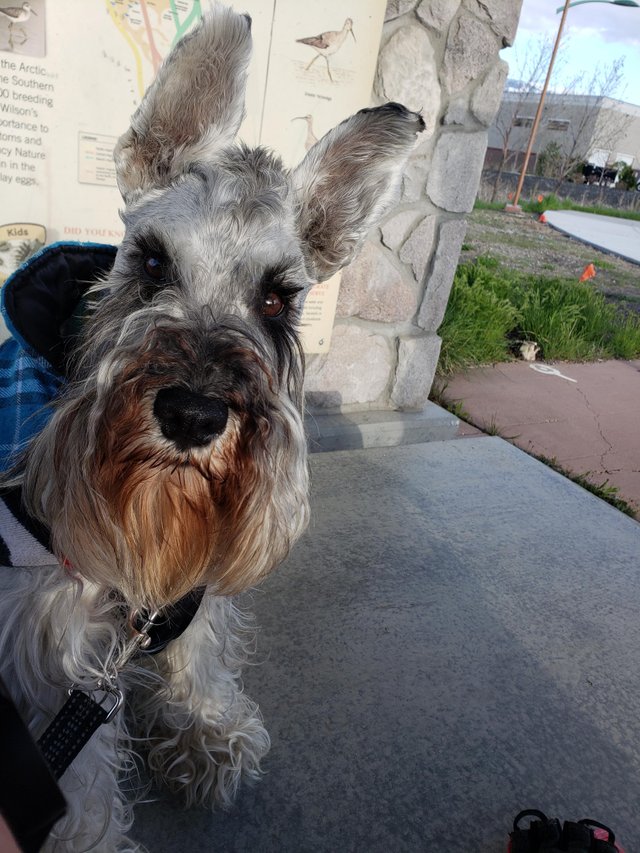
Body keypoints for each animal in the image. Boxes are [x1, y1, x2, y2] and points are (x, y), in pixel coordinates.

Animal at [0, 5, 424, 844]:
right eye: (152, 262)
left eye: (278, 298)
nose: (193, 413)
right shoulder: (52, 656)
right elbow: (79, 786)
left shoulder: (188, 582)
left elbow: (197, 653)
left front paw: (205, 730)